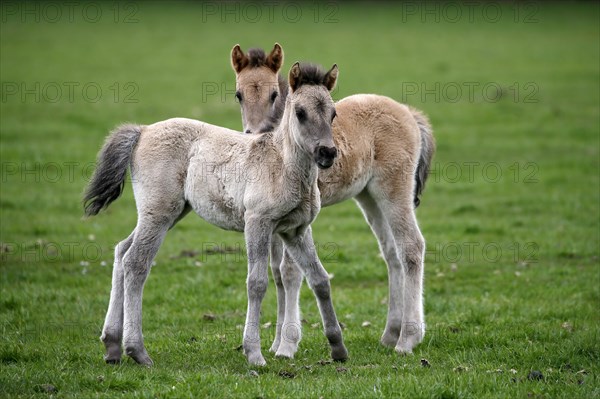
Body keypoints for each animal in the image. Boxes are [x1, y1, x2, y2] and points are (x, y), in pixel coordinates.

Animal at [83, 63, 346, 368]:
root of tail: (143, 130)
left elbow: (319, 279)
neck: (282, 164)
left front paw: (338, 349)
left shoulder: (296, 230)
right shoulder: (257, 223)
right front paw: (254, 353)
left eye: (333, 113)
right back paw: (137, 350)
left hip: (169, 212)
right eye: (300, 112)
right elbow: (257, 283)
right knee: (136, 263)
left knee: (122, 251)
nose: (327, 152)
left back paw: (112, 345)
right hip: (158, 213)